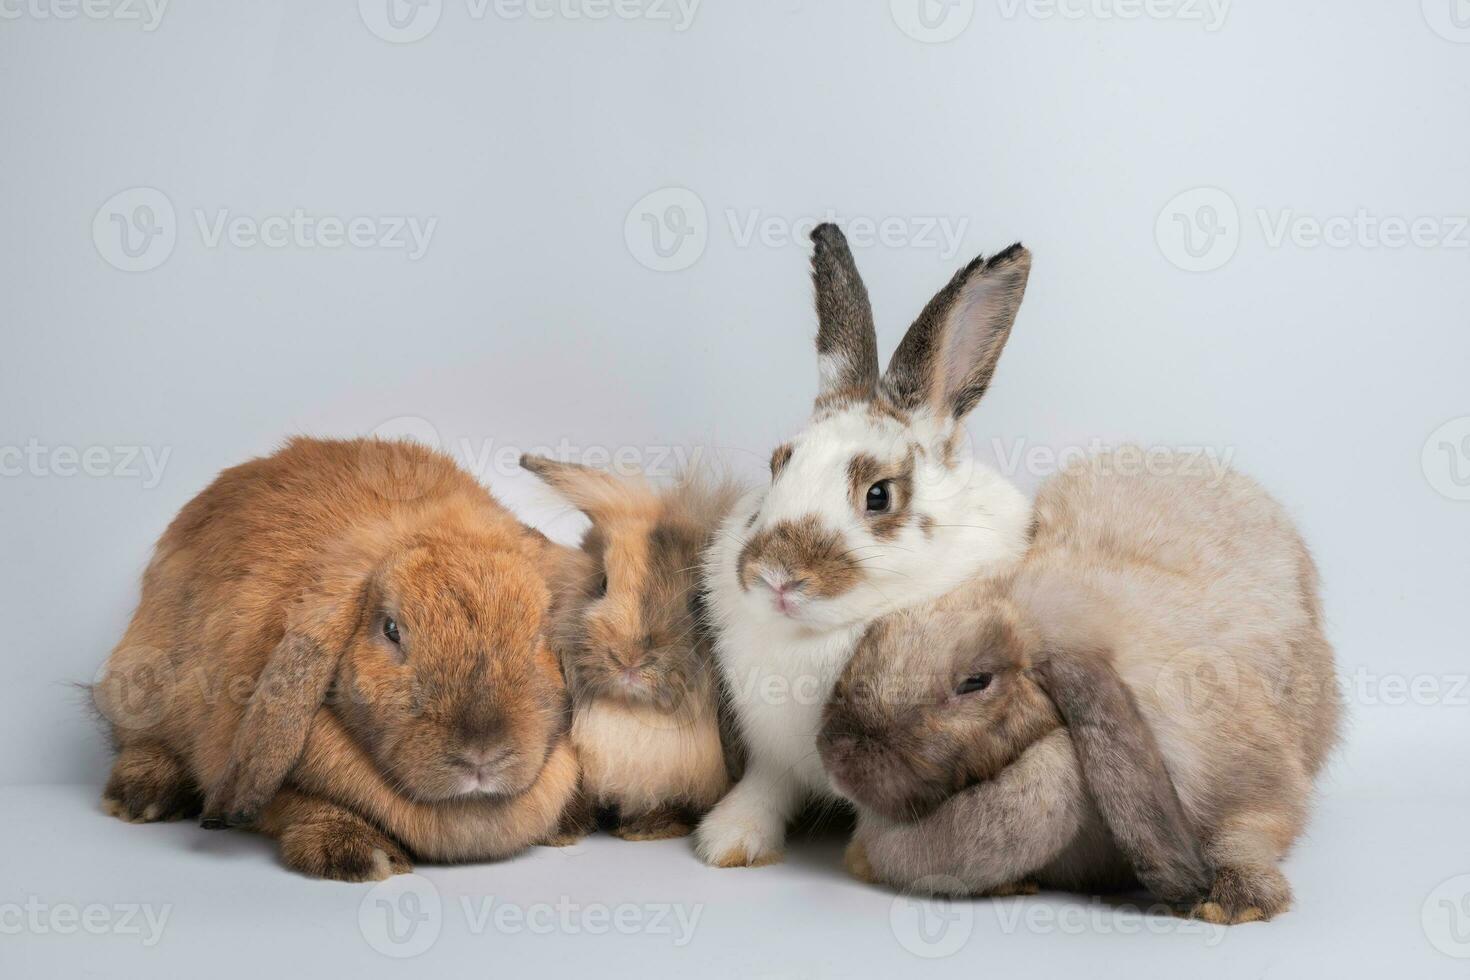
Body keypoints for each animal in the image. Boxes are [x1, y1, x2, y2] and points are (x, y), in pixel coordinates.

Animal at [91, 437, 579, 881]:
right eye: (391, 629)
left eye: (538, 632)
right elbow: (297, 805)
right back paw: (142, 798)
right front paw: (359, 855)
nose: (482, 754)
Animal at [520, 455, 746, 846]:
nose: (628, 659)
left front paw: (649, 828)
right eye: (601, 583)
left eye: (699, 601)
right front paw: (563, 833)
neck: (634, 714)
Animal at [696, 226, 1034, 869]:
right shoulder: (774, 756)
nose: (776, 576)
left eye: (879, 495)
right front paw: (728, 841)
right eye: (778, 467)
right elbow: (764, 788)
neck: (813, 637)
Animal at [817, 449, 1346, 922]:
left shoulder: (1256, 780)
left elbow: (1249, 829)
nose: (836, 752)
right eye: (871, 640)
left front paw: (1236, 901)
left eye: (975, 682)